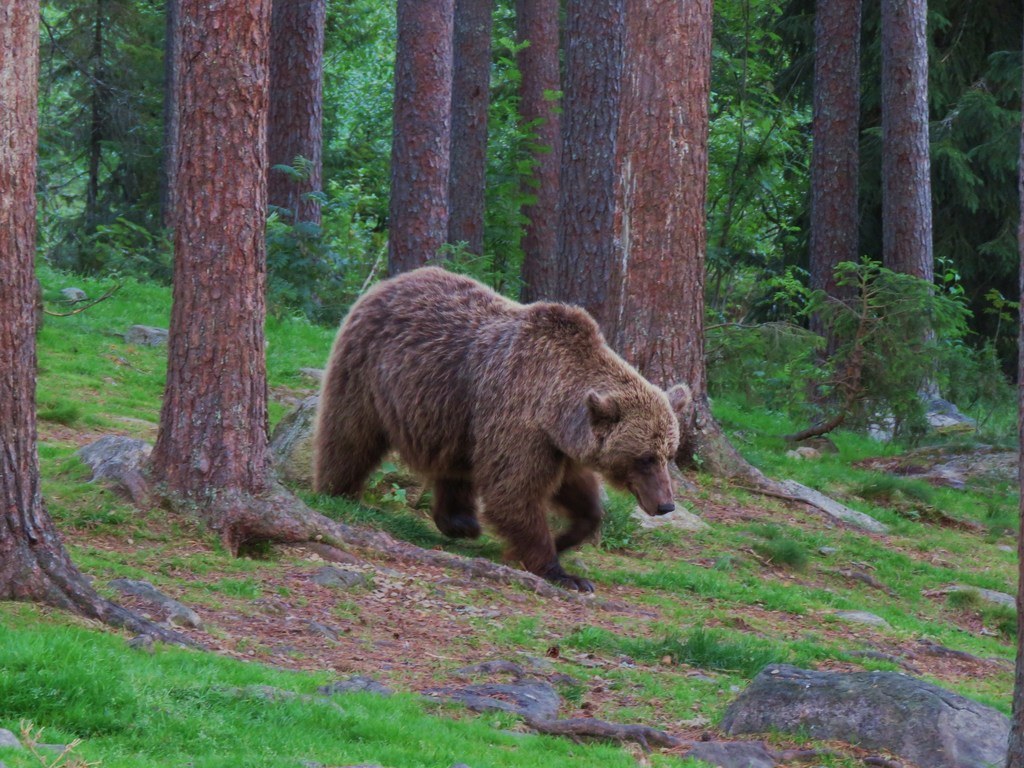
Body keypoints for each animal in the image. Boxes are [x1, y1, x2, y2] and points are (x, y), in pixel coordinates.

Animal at [314, 266, 687, 592]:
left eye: (669, 454)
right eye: (644, 457)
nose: (666, 505)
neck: (555, 407)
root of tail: (389, 282)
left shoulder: (559, 445)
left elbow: (580, 499)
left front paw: (565, 537)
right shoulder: (521, 422)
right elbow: (513, 492)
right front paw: (562, 572)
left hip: (452, 414)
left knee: (453, 463)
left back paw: (460, 521)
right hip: (368, 371)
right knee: (350, 434)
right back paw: (338, 490)